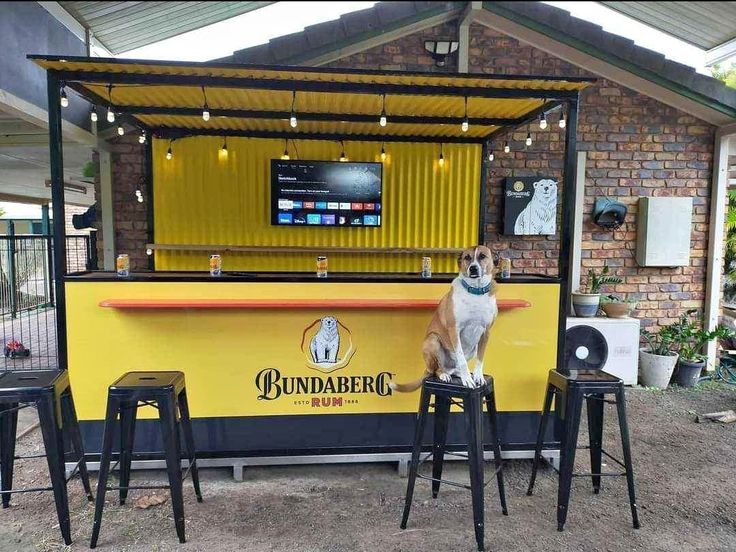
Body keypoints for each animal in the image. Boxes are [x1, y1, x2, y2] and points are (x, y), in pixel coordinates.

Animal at [388, 246, 498, 392]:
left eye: (482, 256)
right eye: (467, 257)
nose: (473, 268)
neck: (475, 291)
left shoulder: (486, 332)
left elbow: (480, 359)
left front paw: (478, 376)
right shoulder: (454, 330)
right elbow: (461, 358)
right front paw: (467, 380)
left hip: (473, 348)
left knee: (455, 368)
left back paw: (459, 373)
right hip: (433, 340)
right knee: (438, 369)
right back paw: (445, 375)